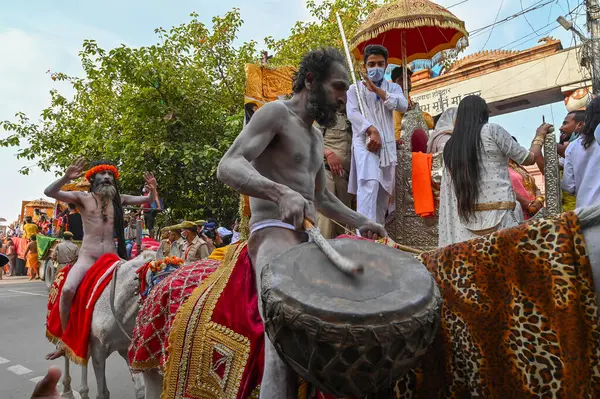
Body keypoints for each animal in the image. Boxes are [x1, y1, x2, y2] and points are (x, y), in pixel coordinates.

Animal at [59, 252, 156, 399]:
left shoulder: (126, 348)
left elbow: (140, 389)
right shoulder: (97, 349)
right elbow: (101, 393)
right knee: (68, 353)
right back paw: (68, 390)